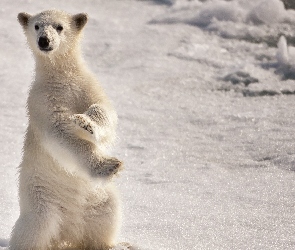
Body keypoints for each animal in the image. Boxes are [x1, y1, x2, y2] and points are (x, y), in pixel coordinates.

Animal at [9, 10, 125, 250]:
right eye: (36, 26)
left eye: (59, 27)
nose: (44, 40)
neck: (61, 77)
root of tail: (67, 232)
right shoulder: (42, 101)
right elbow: (61, 133)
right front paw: (108, 166)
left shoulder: (87, 86)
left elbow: (104, 110)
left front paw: (86, 123)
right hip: (41, 197)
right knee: (36, 227)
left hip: (98, 198)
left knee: (108, 213)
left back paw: (113, 244)